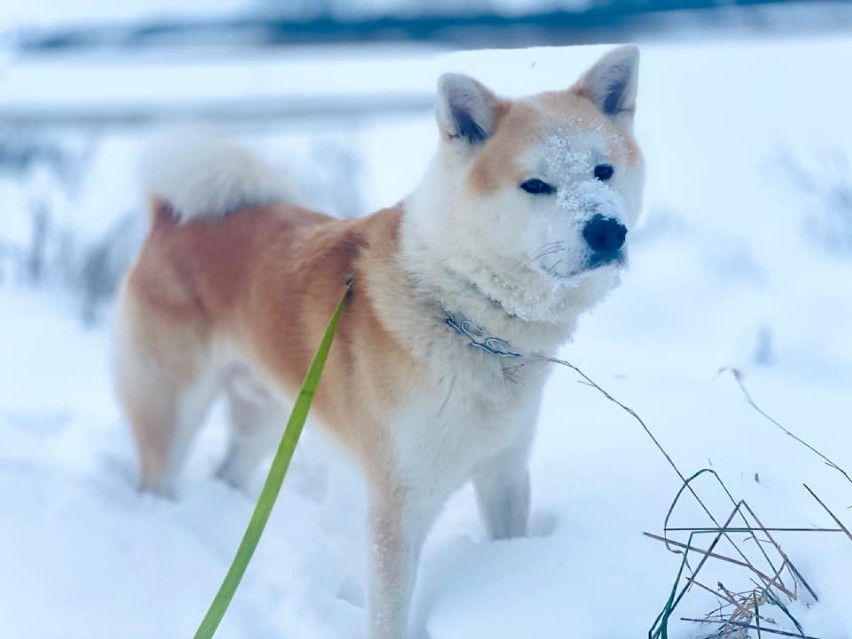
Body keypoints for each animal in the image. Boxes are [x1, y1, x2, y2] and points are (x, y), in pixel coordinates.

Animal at [115, 46, 644, 639]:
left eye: (603, 170)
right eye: (535, 185)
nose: (607, 230)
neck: (461, 309)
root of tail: (169, 217)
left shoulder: (504, 473)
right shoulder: (398, 507)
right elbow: (390, 613)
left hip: (269, 415)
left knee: (230, 471)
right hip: (170, 408)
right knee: (157, 472)